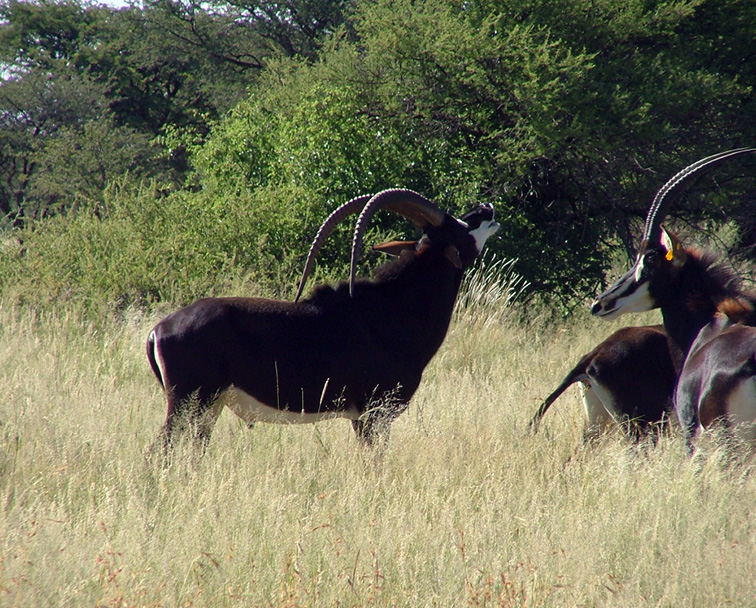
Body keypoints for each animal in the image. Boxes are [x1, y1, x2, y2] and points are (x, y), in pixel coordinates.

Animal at [146, 189, 499, 455]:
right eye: (458, 228)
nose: (485, 208)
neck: (391, 312)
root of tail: (158, 330)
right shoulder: (374, 414)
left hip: (208, 408)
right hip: (188, 403)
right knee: (159, 451)